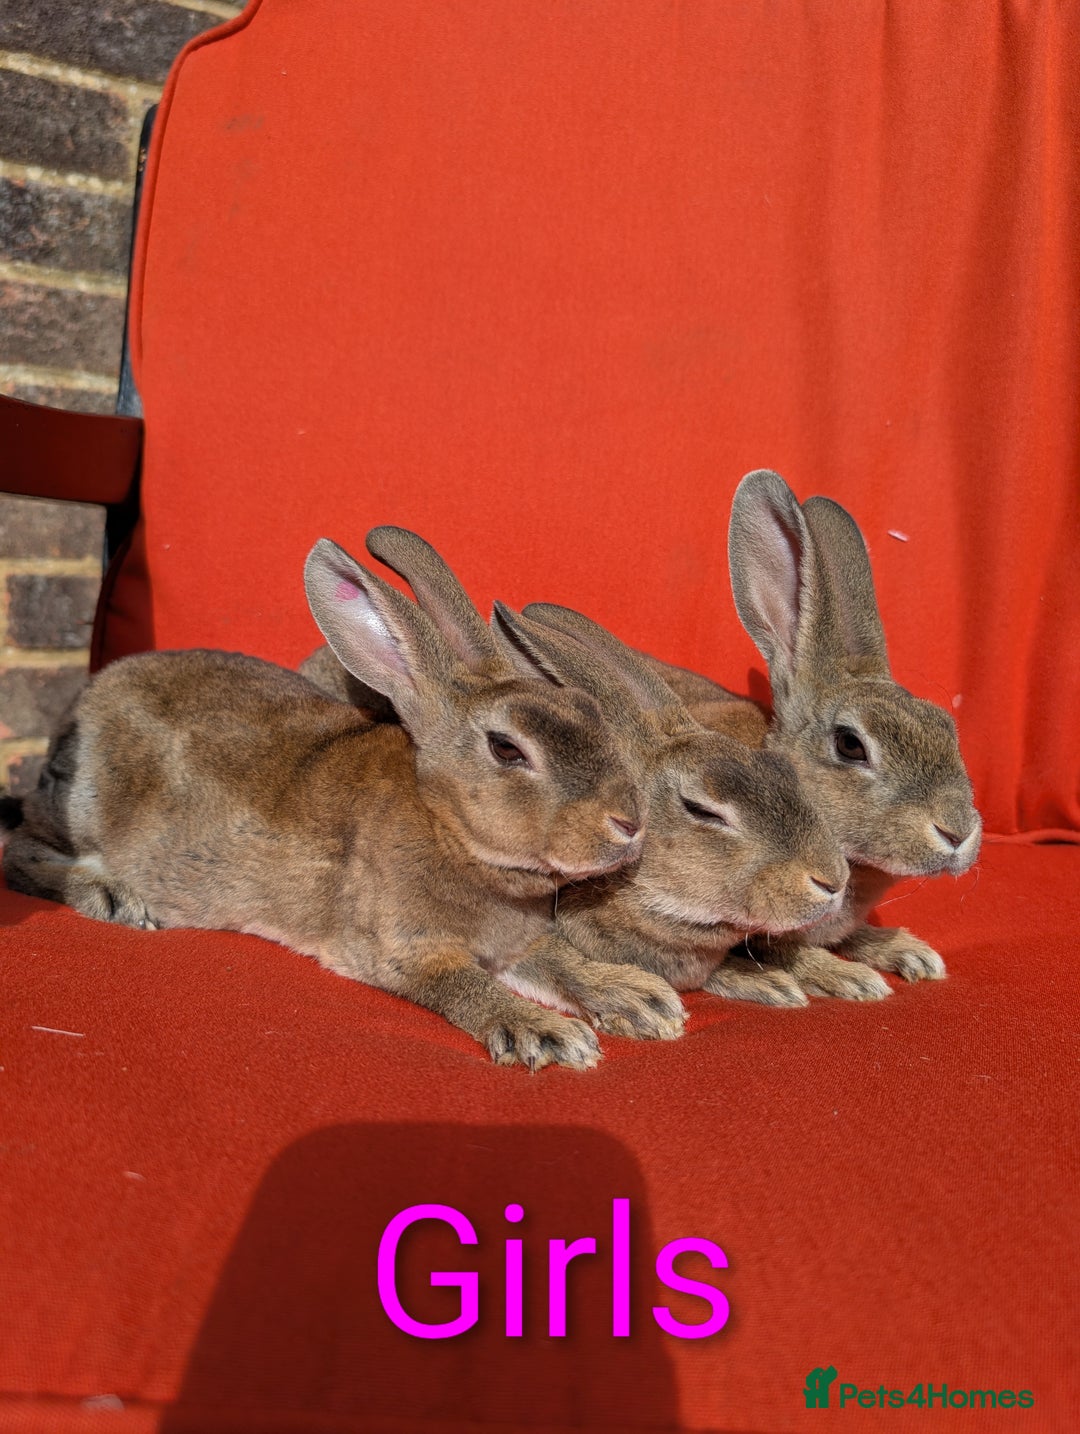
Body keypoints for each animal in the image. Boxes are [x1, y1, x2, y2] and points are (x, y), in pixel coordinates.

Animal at [2, 529, 660, 1071]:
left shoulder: (517, 943)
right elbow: (467, 987)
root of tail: (85, 701)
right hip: (82, 811)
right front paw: (546, 1035)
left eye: (587, 711)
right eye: (506, 749)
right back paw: (113, 897)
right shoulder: (403, 950)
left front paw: (640, 1000)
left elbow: (557, 960)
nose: (631, 825)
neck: (445, 825)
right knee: (17, 847)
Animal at [642, 470, 982, 993]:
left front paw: (910, 953)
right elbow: (783, 950)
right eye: (850, 745)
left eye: (945, 726)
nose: (958, 831)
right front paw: (853, 979)